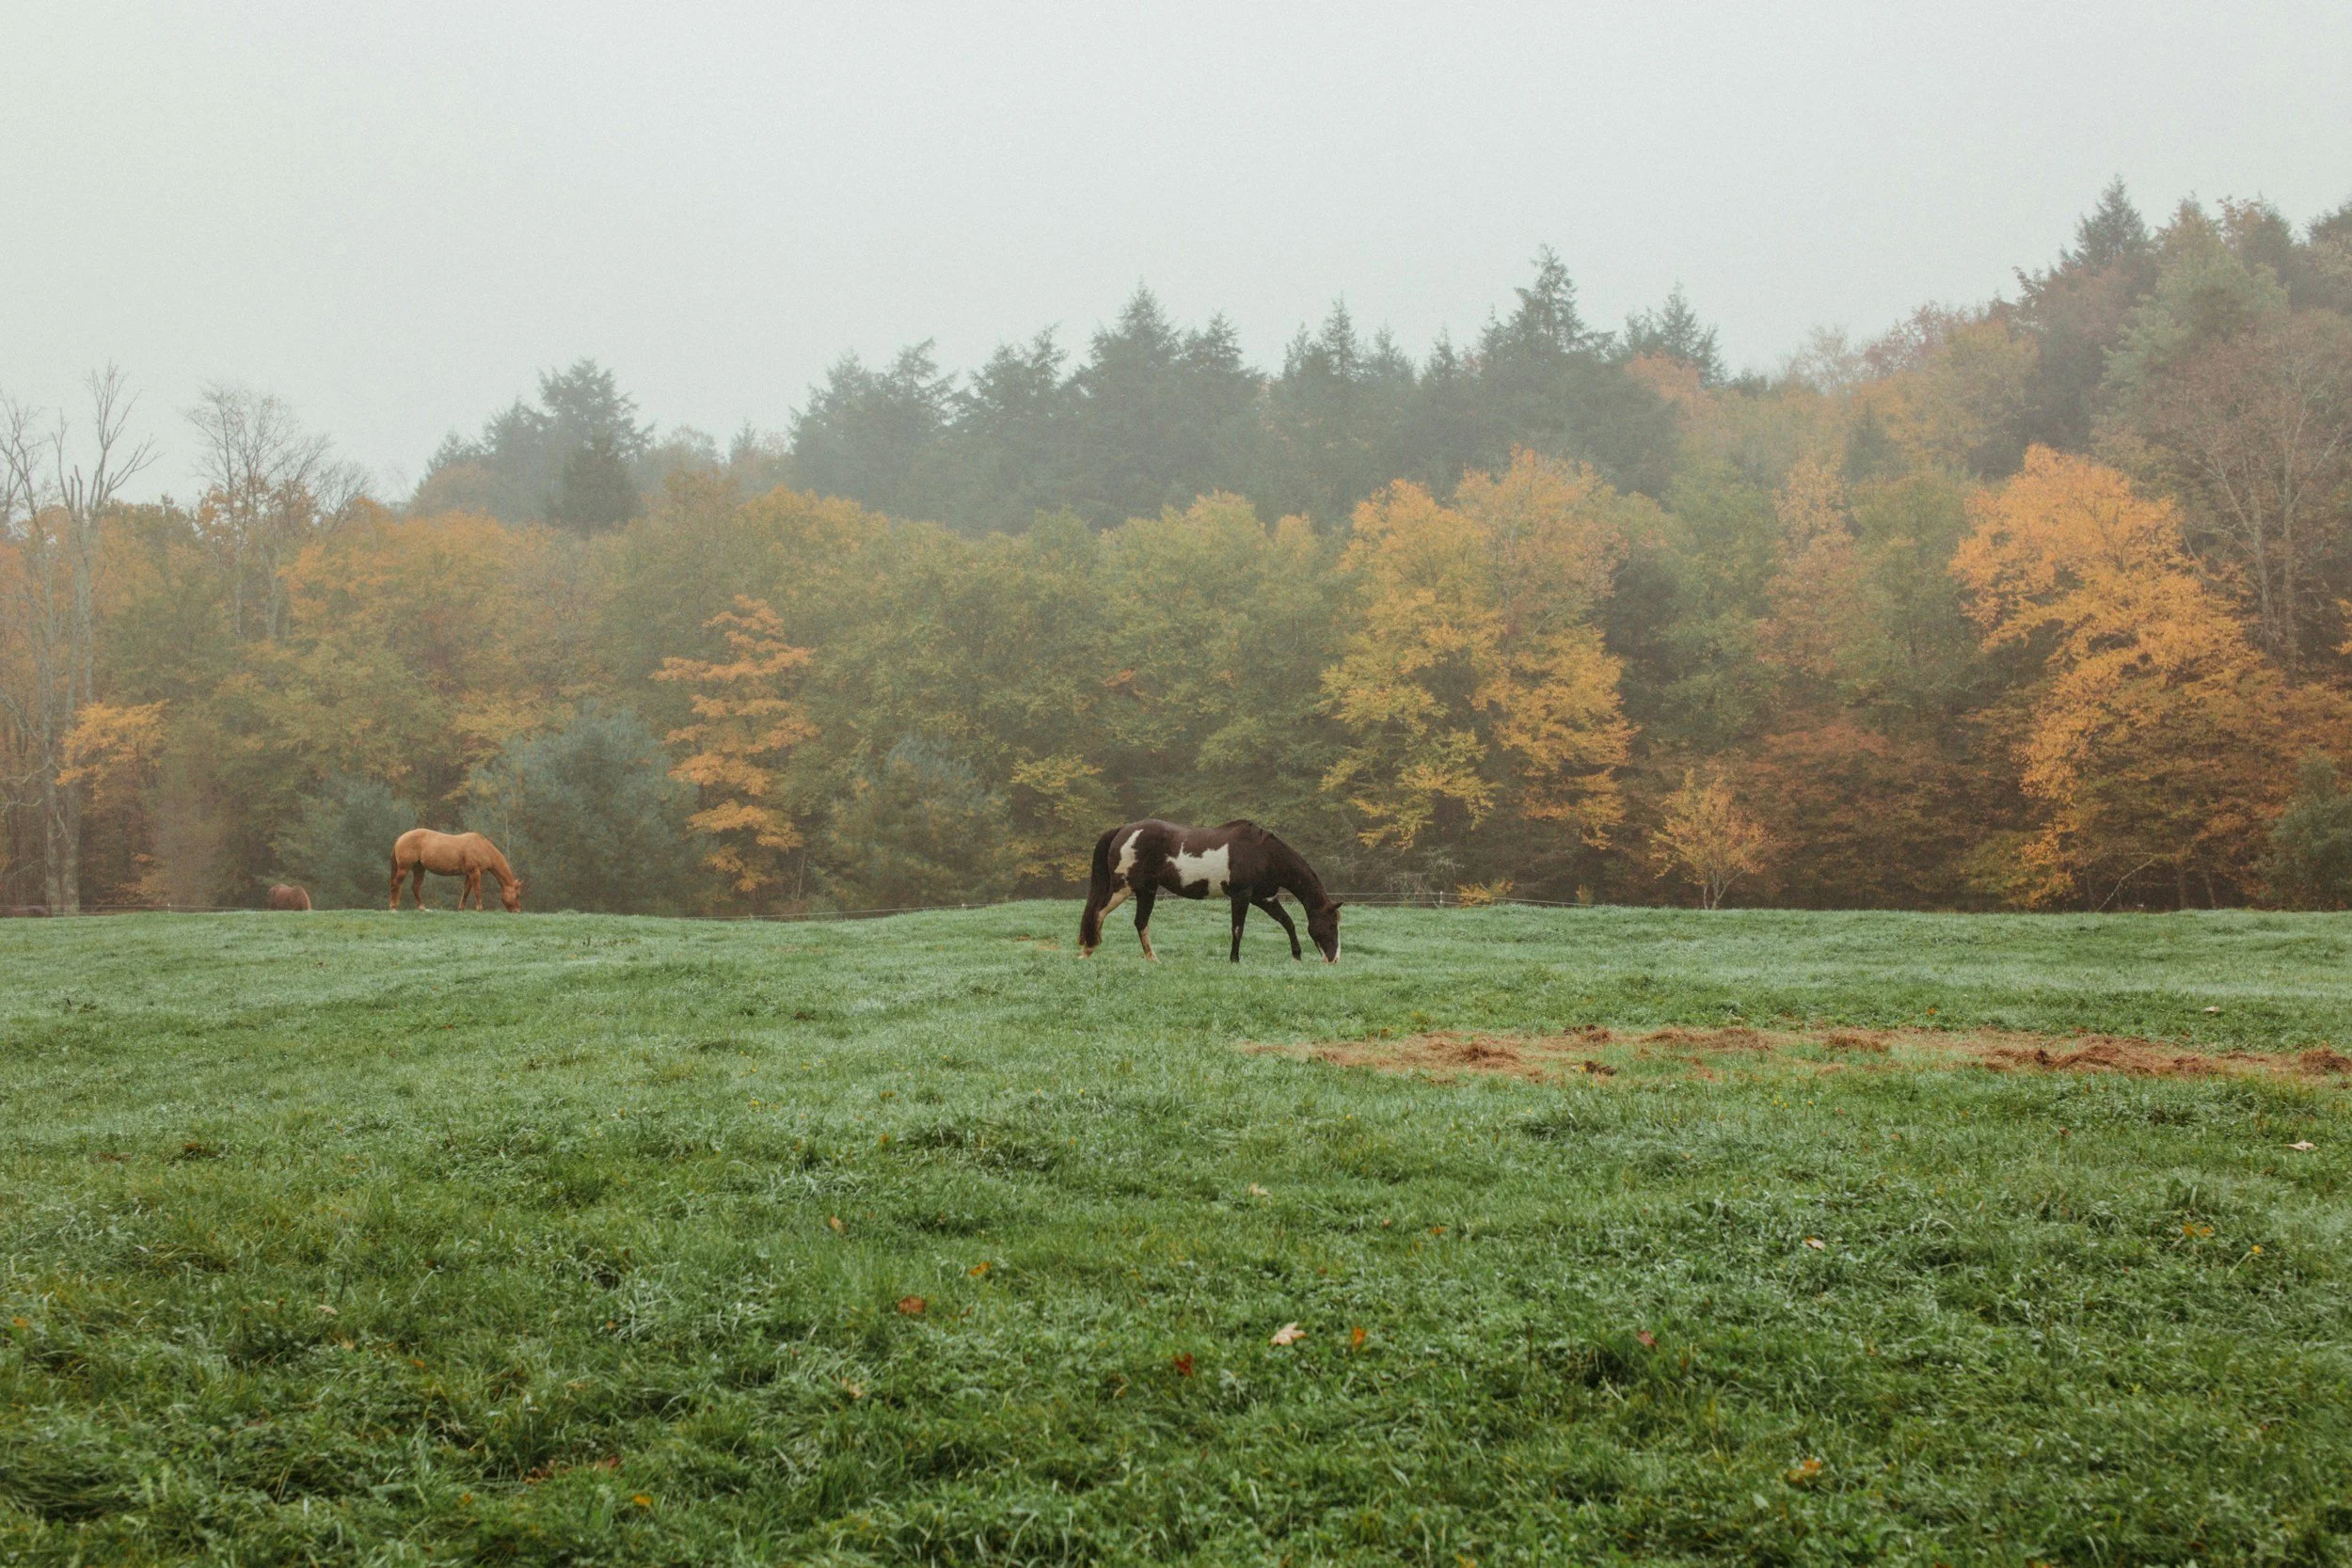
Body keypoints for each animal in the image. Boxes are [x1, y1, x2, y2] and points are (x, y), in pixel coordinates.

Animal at [389, 829, 523, 912]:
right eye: (517, 895)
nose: (517, 911)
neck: (483, 847)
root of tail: (400, 838)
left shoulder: (469, 874)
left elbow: (466, 891)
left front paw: (461, 908)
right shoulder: (475, 872)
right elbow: (477, 890)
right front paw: (479, 908)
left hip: (419, 869)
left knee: (415, 887)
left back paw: (422, 908)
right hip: (404, 868)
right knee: (396, 884)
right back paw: (393, 908)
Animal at [1079, 819, 1342, 963]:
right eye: (1331, 925)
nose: (1333, 959)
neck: (1263, 853)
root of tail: (1123, 829)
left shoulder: (1264, 898)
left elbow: (1287, 922)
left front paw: (1296, 956)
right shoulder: (1242, 895)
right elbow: (1238, 929)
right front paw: (1234, 960)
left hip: (1146, 890)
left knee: (1140, 922)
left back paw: (1153, 959)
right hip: (1123, 888)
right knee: (1099, 912)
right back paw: (1088, 950)